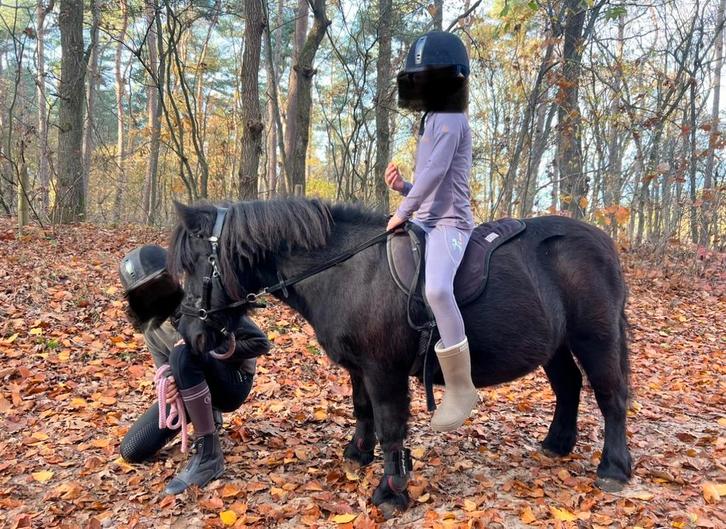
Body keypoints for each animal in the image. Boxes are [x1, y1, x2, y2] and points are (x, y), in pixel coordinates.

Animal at [168, 198, 632, 513]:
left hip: (596, 337)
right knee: (569, 386)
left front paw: (391, 490)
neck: (347, 271)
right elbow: (362, 410)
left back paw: (613, 468)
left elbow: (391, 425)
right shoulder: (358, 368)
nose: (189, 333)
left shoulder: (383, 370)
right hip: (556, 344)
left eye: (196, 264)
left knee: (611, 396)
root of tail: (604, 242)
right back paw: (557, 443)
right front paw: (357, 455)